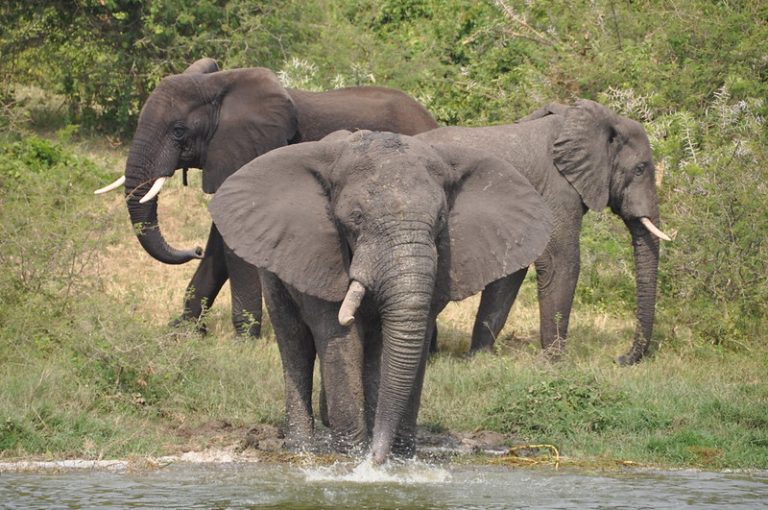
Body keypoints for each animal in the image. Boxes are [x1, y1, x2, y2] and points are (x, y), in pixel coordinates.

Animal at [95, 58, 438, 337]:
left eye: (178, 131)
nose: (192, 249)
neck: (218, 87)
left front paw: (244, 339)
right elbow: (221, 241)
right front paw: (182, 332)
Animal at [208, 131, 553, 462]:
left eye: (441, 219)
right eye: (356, 218)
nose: (376, 458)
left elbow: (404, 342)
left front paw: (397, 460)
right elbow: (340, 338)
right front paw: (352, 459)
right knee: (294, 341)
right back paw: (300, 449)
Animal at [416, 99, 671, 364]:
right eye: (640, 169)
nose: (618, 359)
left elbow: (511, 274)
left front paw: (479, 359)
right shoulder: (556, 188)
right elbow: (560, 261)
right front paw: (553, 363)